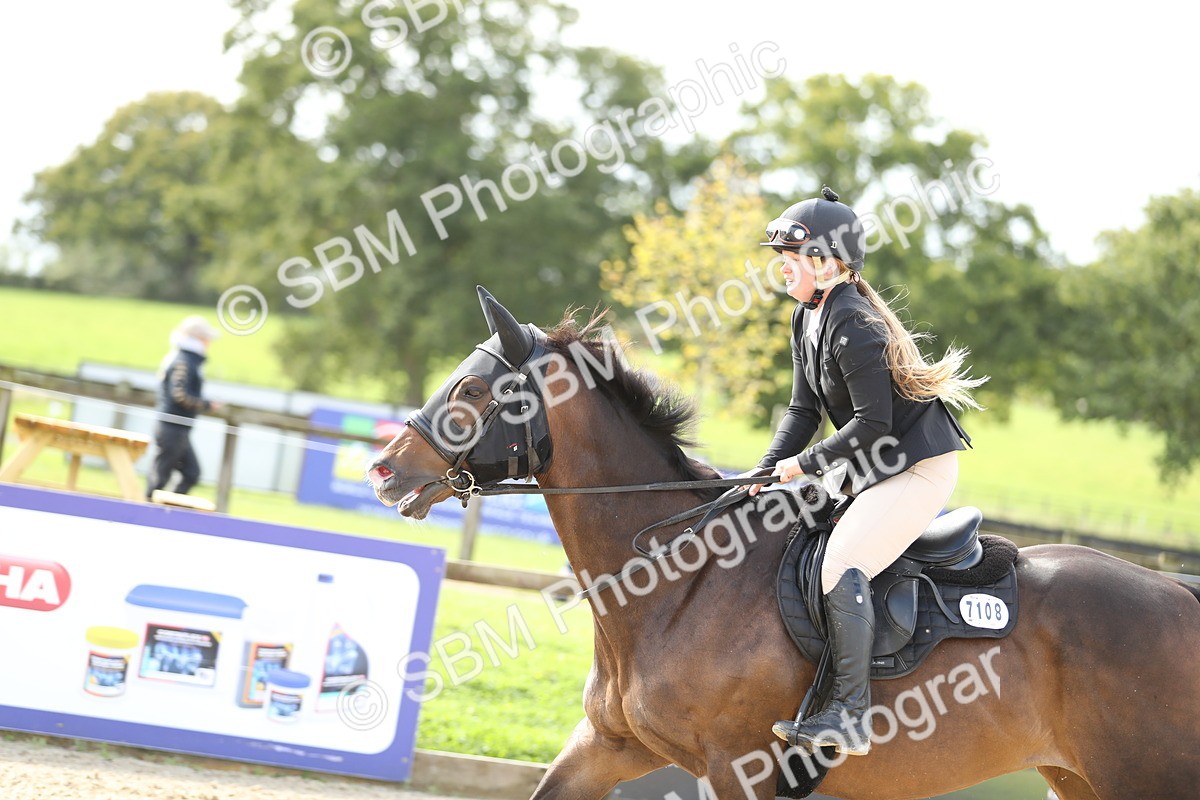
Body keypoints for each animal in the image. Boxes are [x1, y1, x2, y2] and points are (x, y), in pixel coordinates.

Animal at [368, 287, 1200, 800]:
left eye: (473, 391)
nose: (383, 468)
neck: (675, 582)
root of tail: (1178, 594)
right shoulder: (608, 746)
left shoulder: (738, 768)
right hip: (1083, 776)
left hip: (1143, 773)